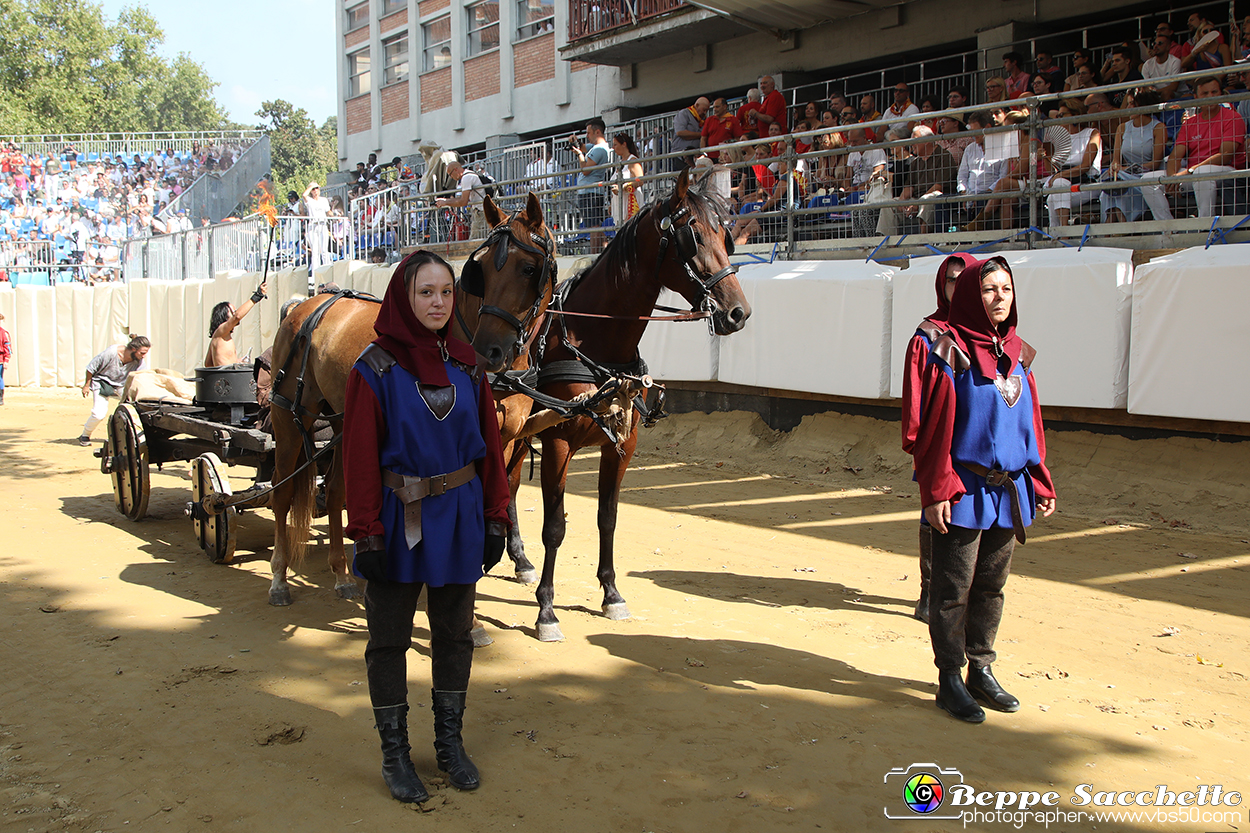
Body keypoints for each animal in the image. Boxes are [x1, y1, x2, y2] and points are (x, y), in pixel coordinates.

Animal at [271, 192, 565, 607]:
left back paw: (342, 573)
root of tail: (308, 305)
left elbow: (499, 495)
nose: (486, 350)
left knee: (339, 490)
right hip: (288, 416)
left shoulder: (507, 439)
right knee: (281, 492)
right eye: (481, 270)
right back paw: (280, 578)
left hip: (347, 421)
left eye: (528, 269)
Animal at [530, 165, 750, 637]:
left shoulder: (623, 445)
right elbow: (554, 526)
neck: (593, 343)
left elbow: (607, 518)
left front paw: (611, 593)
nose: (739, 312)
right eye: (693, 236)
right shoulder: (557, 442)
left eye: (726, 237)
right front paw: (546, 609)